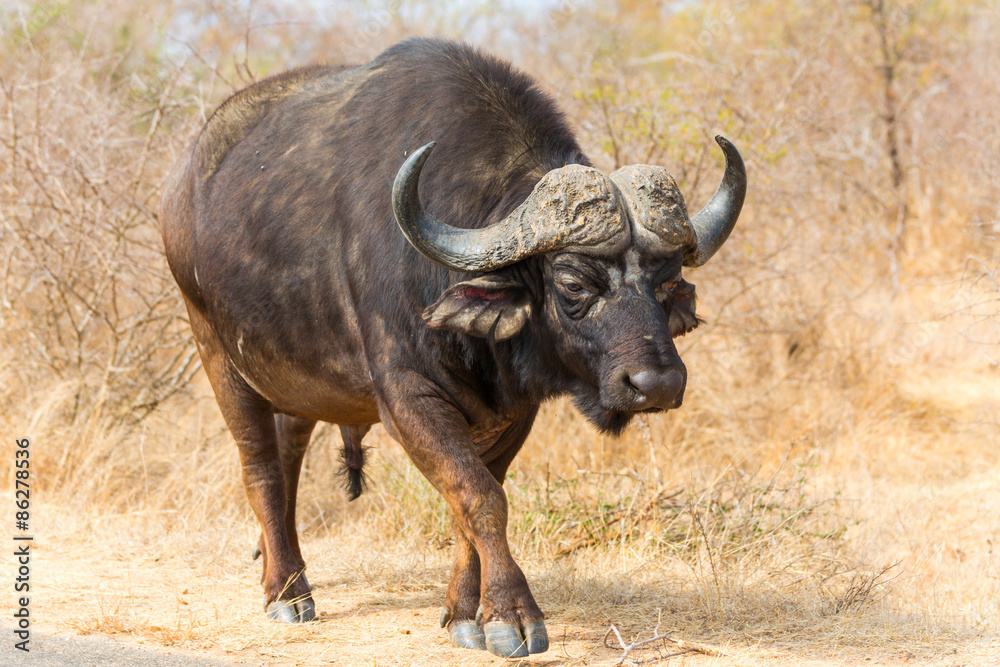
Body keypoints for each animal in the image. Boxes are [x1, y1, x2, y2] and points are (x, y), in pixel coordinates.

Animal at [159, 38, 746, 658]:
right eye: (573, 284)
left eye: (667, 281)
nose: (657, 384)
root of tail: (182, 182)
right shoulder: (408, 398)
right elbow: (479, 496)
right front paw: (513, 615)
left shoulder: (514, 411)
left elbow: (475, 499)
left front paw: (467, 613)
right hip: (217, 353)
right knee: (261, 467)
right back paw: (286, 593)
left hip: (300, 381)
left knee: (290, 453)